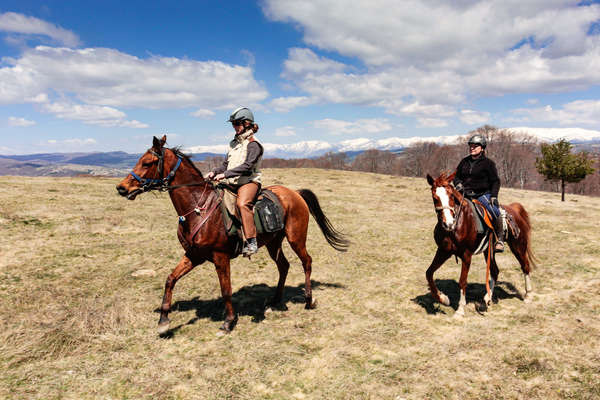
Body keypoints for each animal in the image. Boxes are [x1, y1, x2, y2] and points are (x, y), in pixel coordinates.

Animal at [116, 136, 350, 332]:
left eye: (147, 163)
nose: (121, 188)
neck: (198, 207)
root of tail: (295, 193)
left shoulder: (221, 257)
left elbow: (225, 289)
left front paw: (228, 322)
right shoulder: (194, 255)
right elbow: (170, 279)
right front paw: (164, 320)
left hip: (296, 239)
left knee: (306, 262)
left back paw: (309, 300)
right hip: (273, 243)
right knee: (284, 266)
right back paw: (275, 300)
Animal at [424, 171, 536, 316]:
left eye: (451, 195)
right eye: (435, 197)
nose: (448, 223)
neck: (458, 223)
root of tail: (514, 209)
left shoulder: (466, 255)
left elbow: (462, 281)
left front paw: (460, 310)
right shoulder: (443, 251)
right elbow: (429, 273)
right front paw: (443, 299)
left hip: (518, 247)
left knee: (525, 266)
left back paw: (528, 295)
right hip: (489, 251)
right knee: (495, 271)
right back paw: (487, 299)